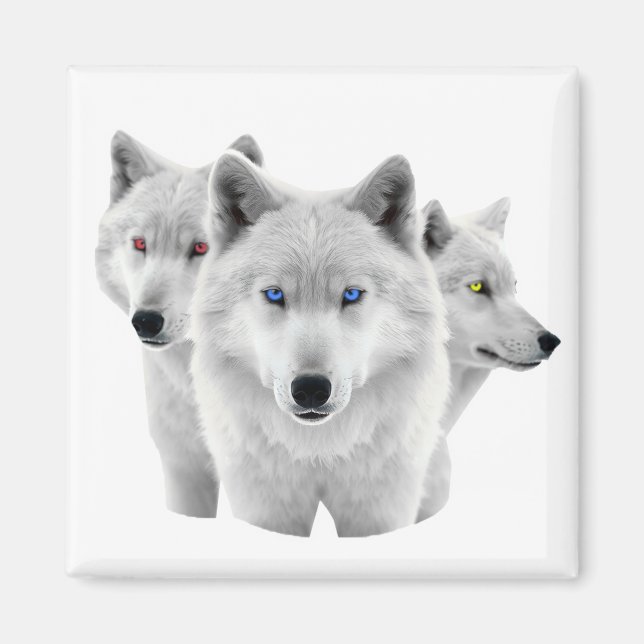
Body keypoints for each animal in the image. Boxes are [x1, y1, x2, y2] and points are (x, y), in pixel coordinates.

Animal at [190, 151, 450, 537]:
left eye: (352, 294)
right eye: (274, 294)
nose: (310, 389)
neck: (319, 450)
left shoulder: (381, 508)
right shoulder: (264, 506)